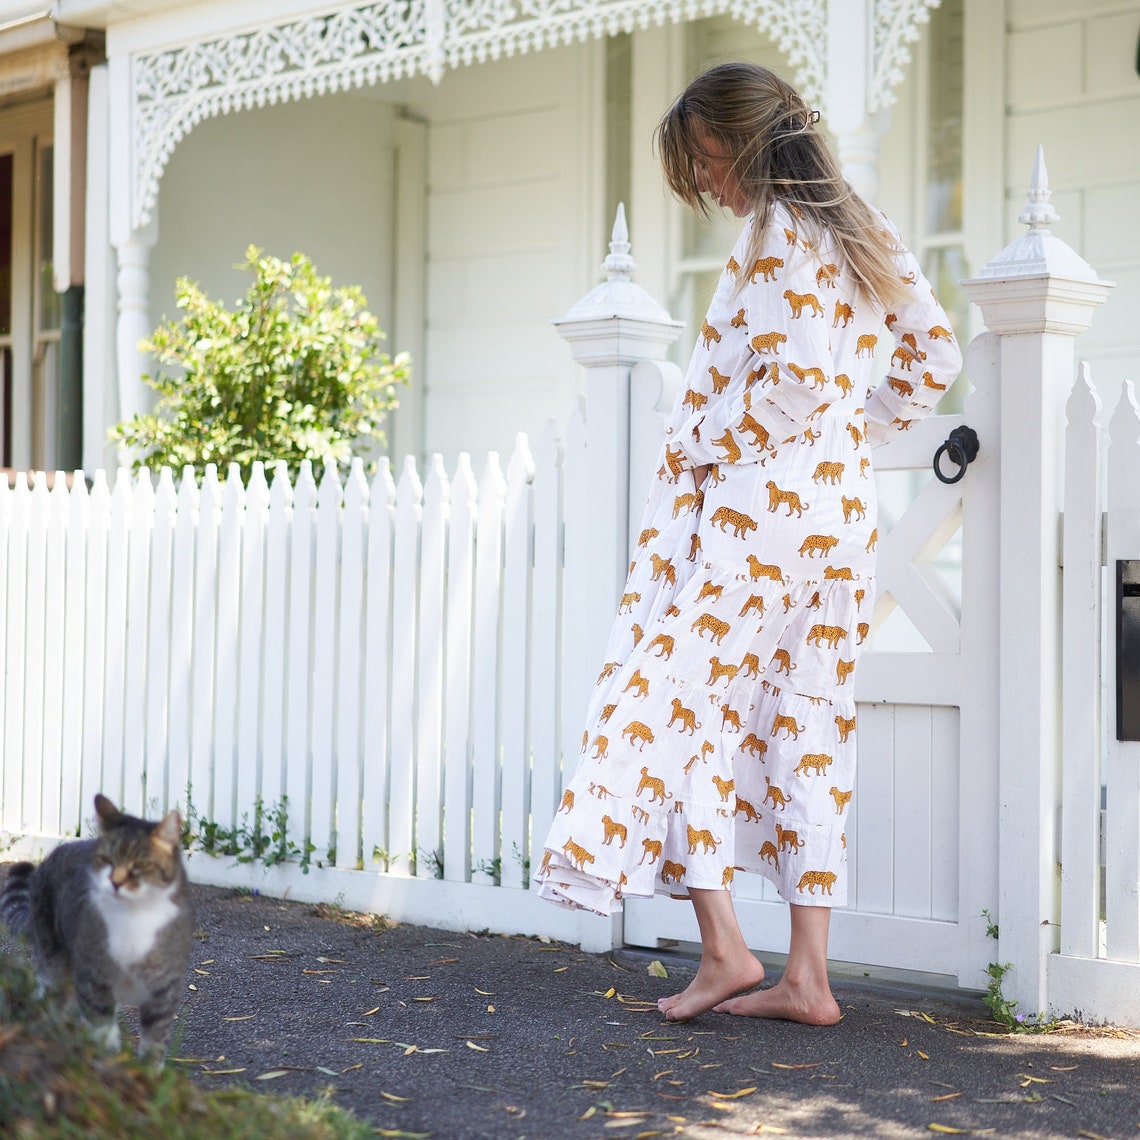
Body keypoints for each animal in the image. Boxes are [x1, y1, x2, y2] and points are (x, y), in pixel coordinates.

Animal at [1, 793, 196, 1057]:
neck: (134, 917)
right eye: (107, 860)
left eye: (139, 865)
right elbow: (102, 1029)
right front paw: (107, 1057)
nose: (115, 882)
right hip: (55, 959)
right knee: (51, 994)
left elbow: (154, 1043)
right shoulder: (93, 980)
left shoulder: (164, 991)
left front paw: (145, 1065)